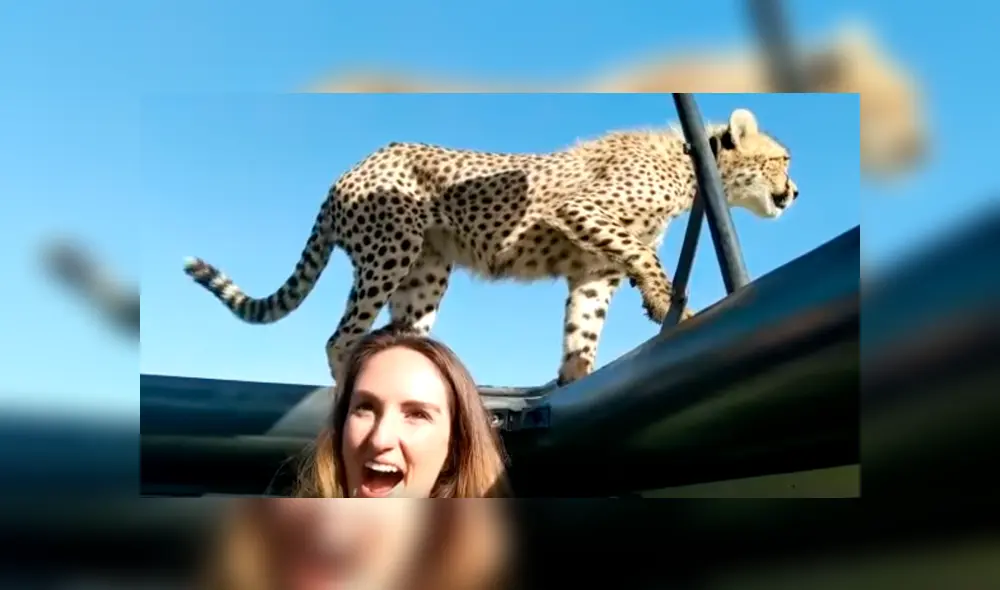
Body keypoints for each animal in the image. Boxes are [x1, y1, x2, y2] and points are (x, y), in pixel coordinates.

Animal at [183, 107, 798, 386]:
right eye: (783, 159)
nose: (795, 191)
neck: (695, 165)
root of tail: (348, 171)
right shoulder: (581, 212)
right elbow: (646, 257)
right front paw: (671, 303)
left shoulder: (593, 271)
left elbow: (584, 329)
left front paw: (575, 376)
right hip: (391, 247)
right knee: (342, 337)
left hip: (426, 274)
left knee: (401, 336)